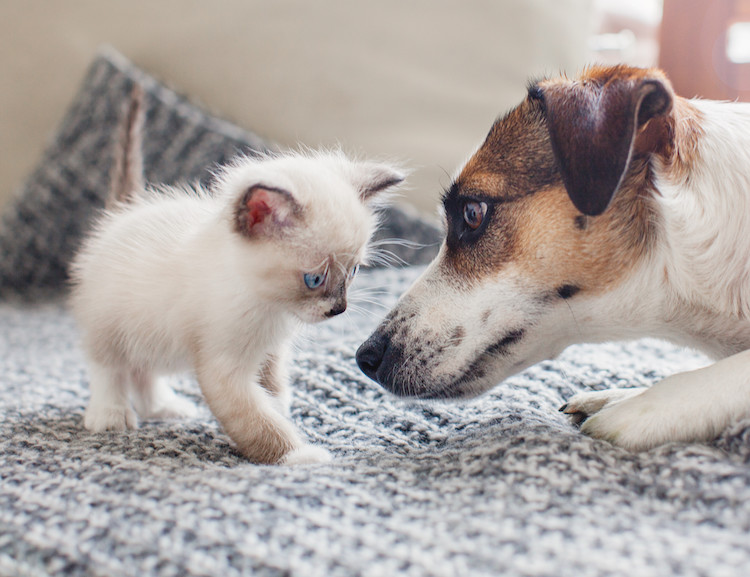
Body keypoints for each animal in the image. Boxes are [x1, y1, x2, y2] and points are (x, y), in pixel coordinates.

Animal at [70, 86, 406, 464]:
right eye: (314, 279)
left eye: (354, 271)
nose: (339, 309)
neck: (269, 305)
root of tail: (122, 213)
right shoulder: (223, 367)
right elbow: (257, 422)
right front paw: (298, 458)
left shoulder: (272, 352)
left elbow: (274, 393)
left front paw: (282, 412)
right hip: (113, 326)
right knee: (107, 367)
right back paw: (110, 414)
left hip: (149, 334)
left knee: (142, 371)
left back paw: (163, 408)